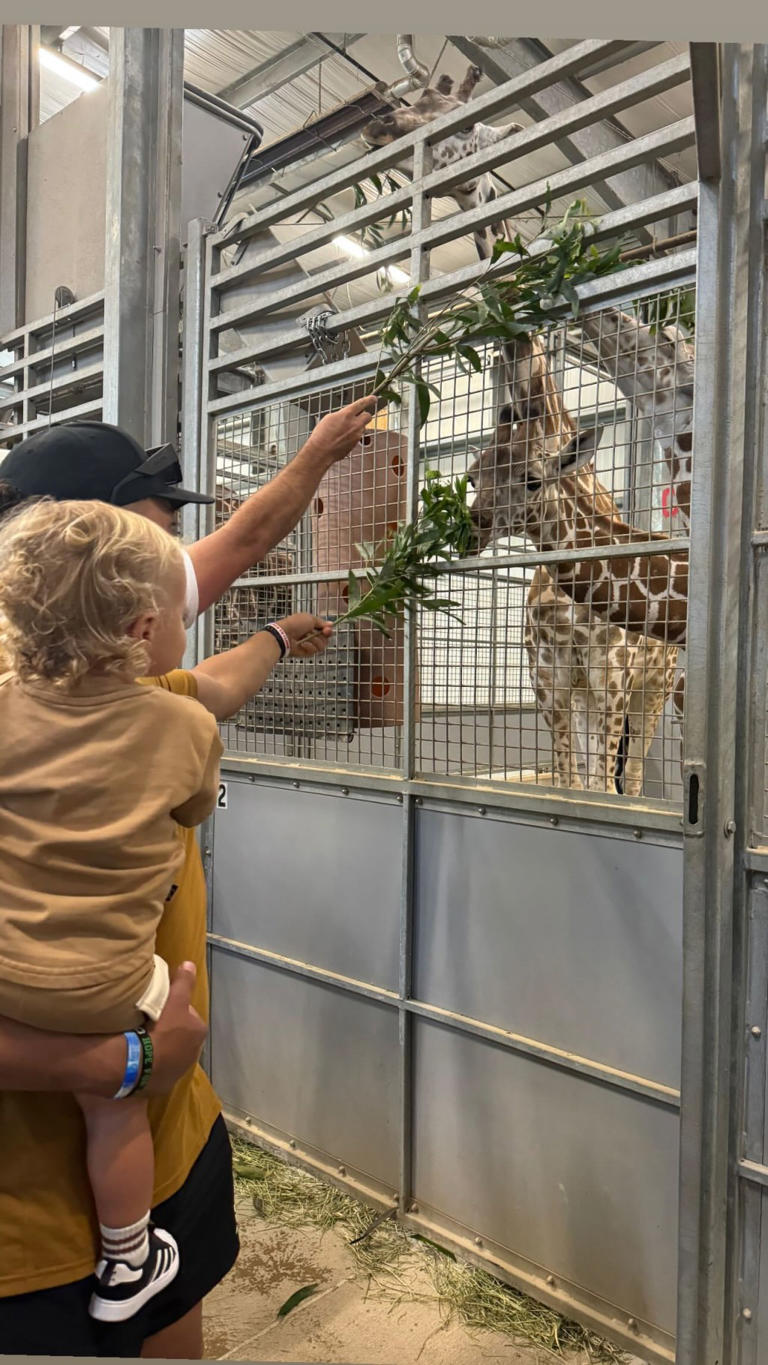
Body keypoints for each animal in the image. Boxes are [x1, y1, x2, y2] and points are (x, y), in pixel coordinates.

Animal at [499, 334, 679, 797]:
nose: (511, 343)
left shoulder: (611, 678)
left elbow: (601, 785)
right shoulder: (552, 682)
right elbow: (570, 780)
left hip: (655, 687)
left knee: (631, 775)